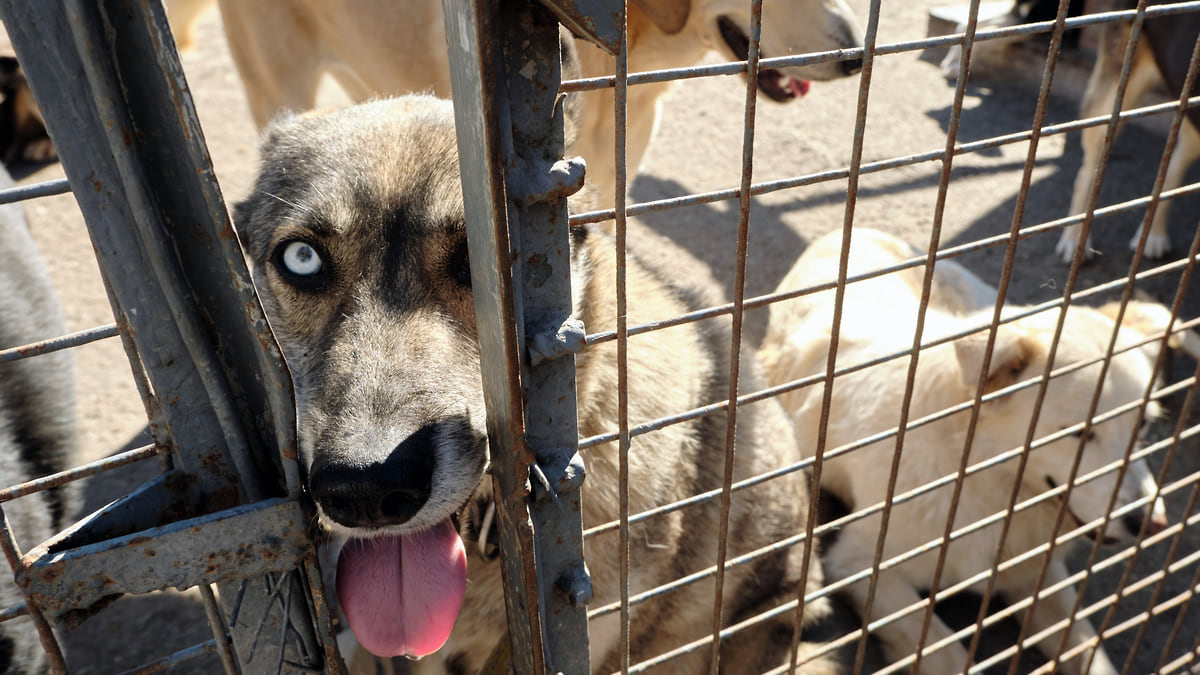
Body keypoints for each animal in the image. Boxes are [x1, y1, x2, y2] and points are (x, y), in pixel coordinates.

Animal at [758, 227, 1180, 672]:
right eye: (1078, 432)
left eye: (1144, 424)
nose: (1151, 523)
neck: (981, 476)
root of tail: (849, 231)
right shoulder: (861, 567)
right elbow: (945, 649)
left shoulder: (1034, 569)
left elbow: (1086, 648)